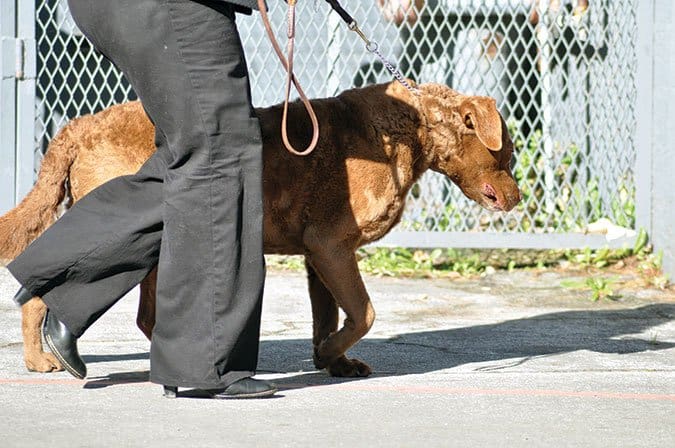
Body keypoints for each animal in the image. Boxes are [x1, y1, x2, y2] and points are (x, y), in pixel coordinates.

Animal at [0, 81, 520, 378]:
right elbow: (364, 313)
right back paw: (43, 359)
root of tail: (77, 126)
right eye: (509, 155)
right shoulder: (332, 246)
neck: (409, 129)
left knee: (140, 315)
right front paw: (329, 354)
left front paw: (334, 361)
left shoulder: (319, 253)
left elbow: (329, 314)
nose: (517, 199)